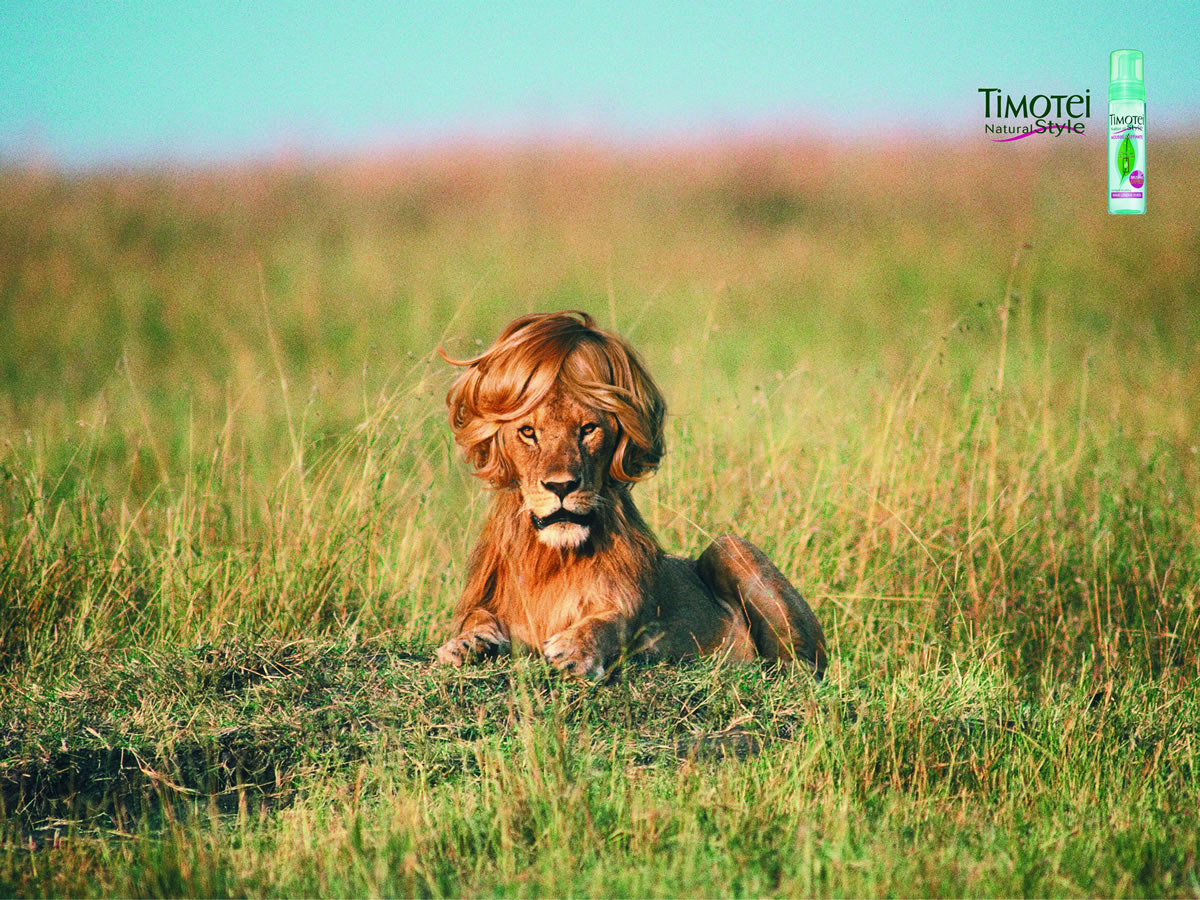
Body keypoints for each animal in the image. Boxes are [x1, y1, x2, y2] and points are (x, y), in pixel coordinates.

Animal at [434, 311, 826, 679]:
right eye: (528, 432)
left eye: (588, 429)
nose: (561, 486)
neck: (552, 559)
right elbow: (476, 616)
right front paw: (468, 644)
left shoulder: (639, 615)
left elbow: (611, 621)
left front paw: (576, 649)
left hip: (730, 547)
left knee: (801, 666)